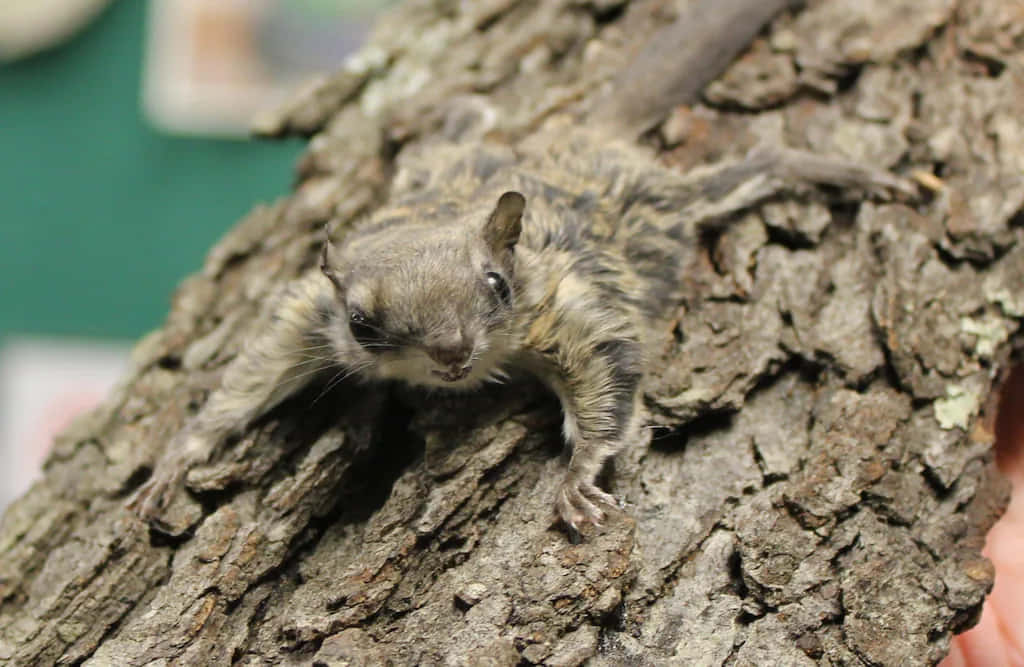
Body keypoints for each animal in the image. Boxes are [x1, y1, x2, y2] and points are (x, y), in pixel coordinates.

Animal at [129, 0, 915, 532]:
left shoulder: (565, 308)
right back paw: (438, 113)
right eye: (362, 322)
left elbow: (609, 370)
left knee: (759, 167)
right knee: (474, 119)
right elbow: (245, 381)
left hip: (661, 202)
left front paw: (580, 473)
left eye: (496, 284)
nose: (452, 353)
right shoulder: (306, 318)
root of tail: (581, 138)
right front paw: (179, 457)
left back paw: (842, 173)